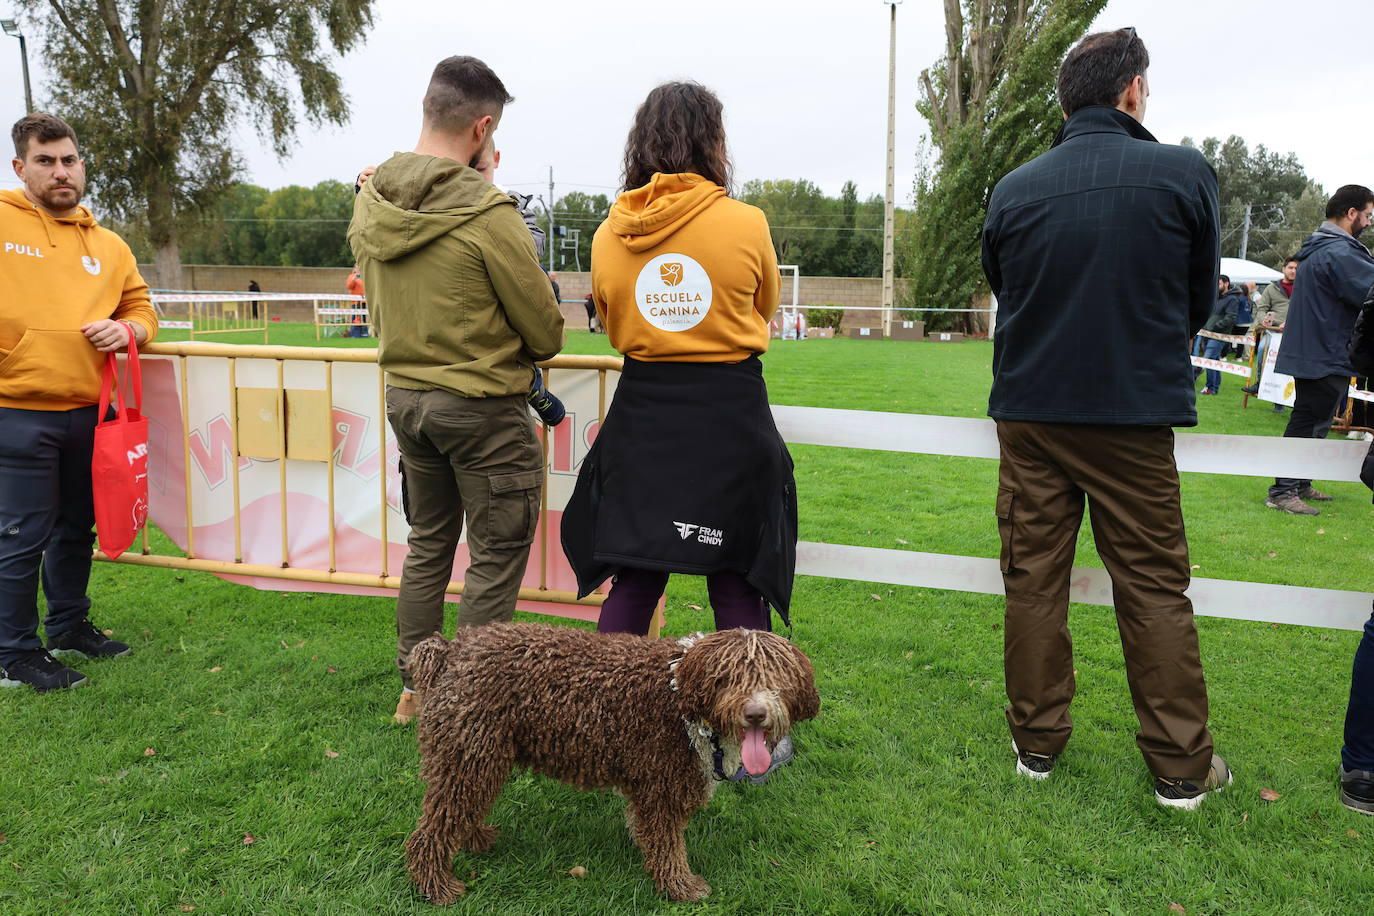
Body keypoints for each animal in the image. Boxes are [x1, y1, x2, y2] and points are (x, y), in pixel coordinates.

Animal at [403, 620, 813, 906]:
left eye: (777, 678)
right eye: (727, 678)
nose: (756, 713)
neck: (680, 692)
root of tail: (452, 651)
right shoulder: (661, 786)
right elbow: (668, 845)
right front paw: (681, 887)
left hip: (480, 756)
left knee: (462, 809)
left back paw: (474, 838)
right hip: (467, 754)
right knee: (431, 830)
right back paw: (436, 886)